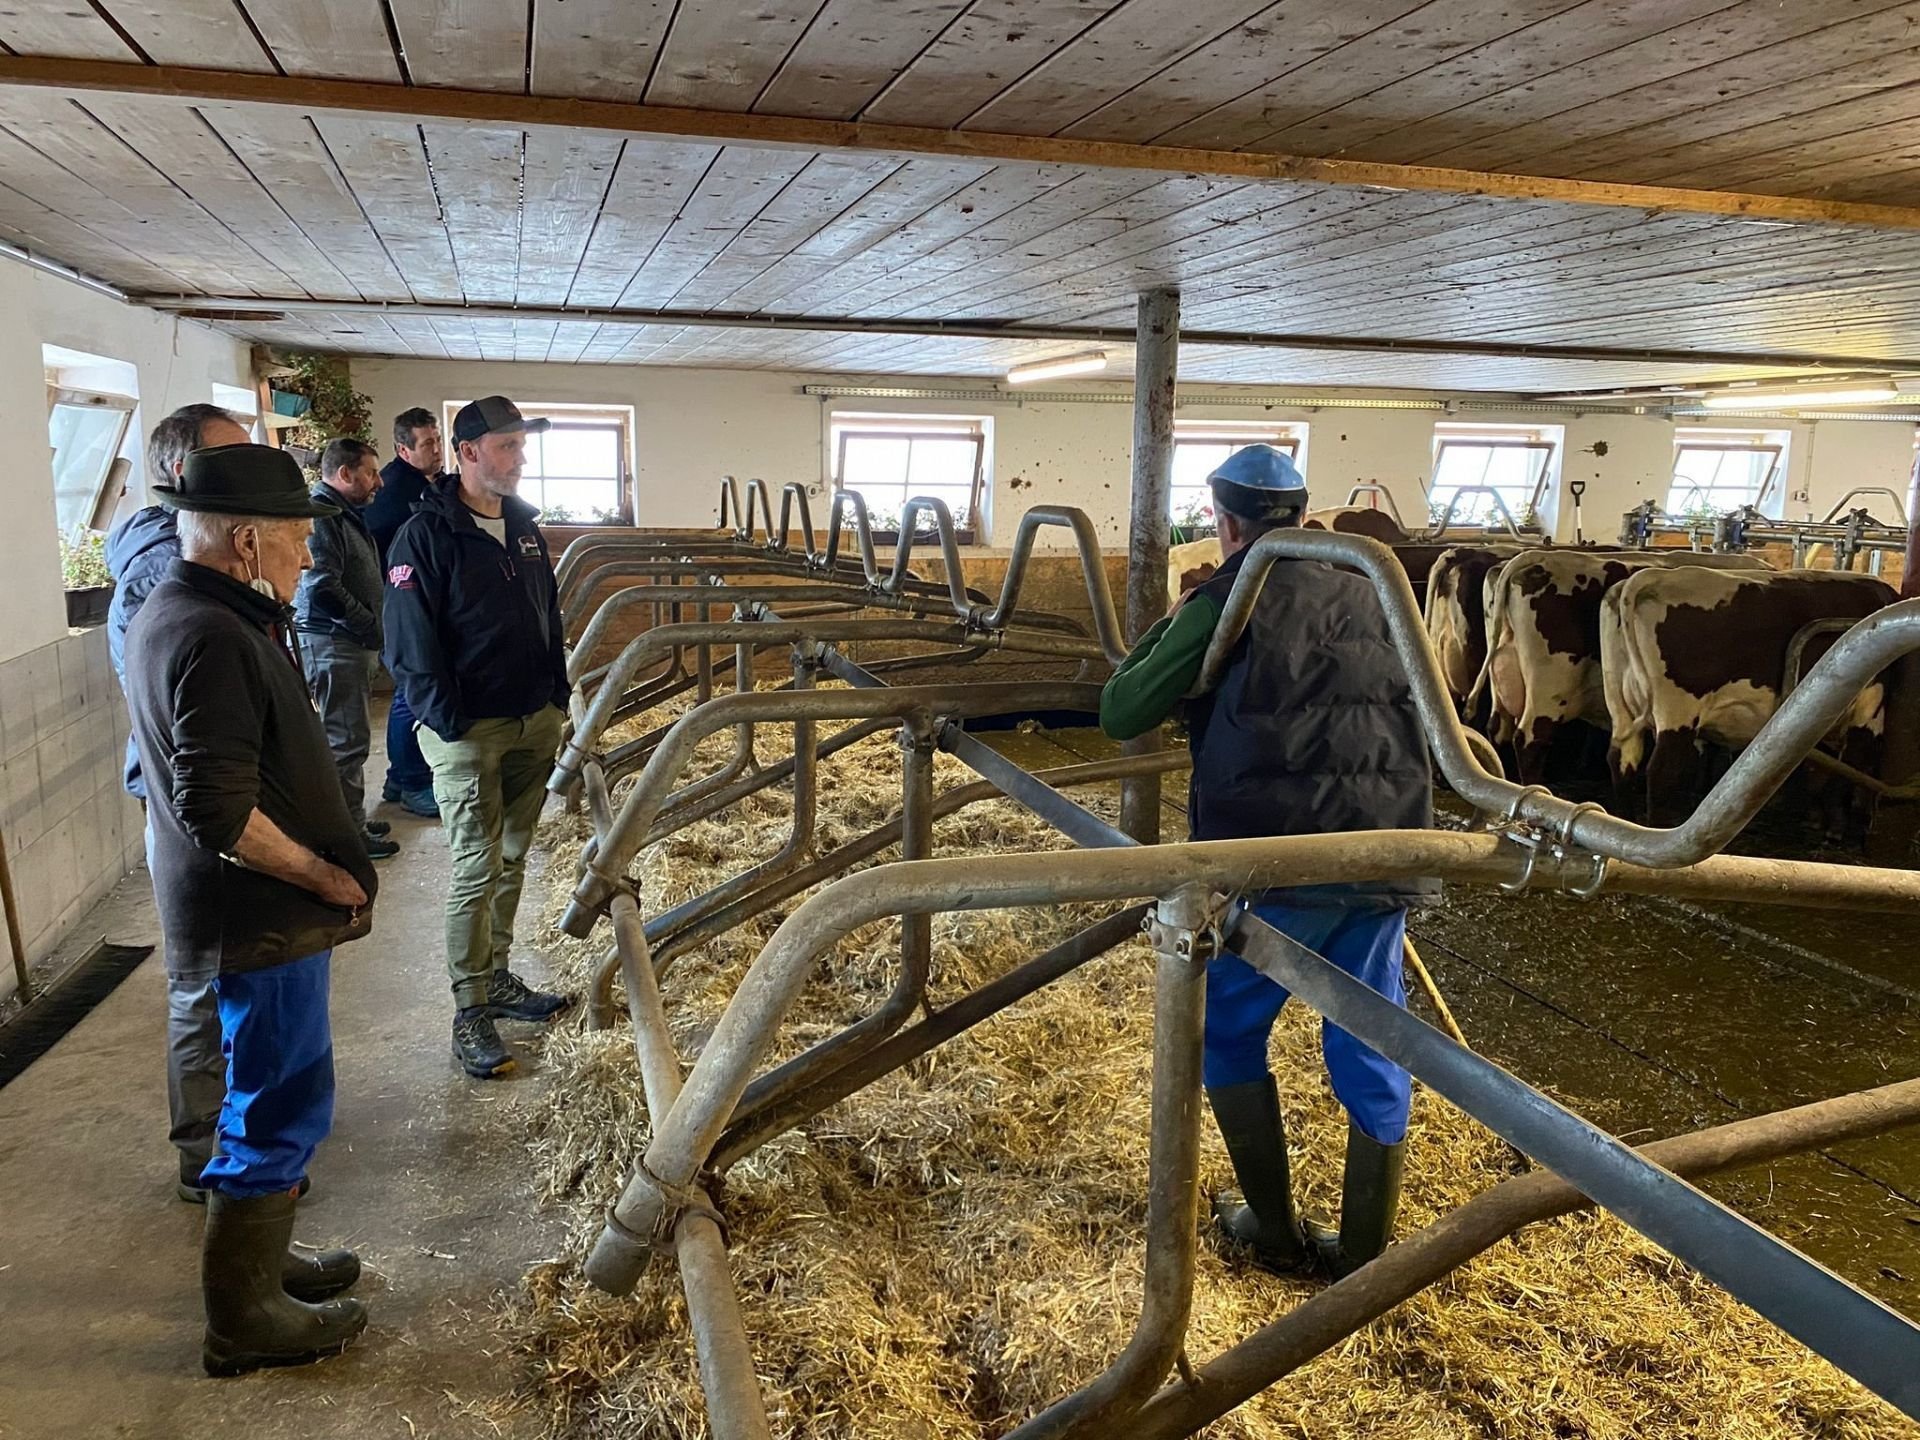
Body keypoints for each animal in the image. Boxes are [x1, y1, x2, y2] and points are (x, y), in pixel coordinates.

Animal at [1589, 568, 1889, 829]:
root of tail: (1653, 577)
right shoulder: (1870, 709)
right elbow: (1852, 764)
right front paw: (1838, 824)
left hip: (1621, 710)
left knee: (1622, 760)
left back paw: (1624, 821)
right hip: (1678, 715)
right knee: (1662, 772)